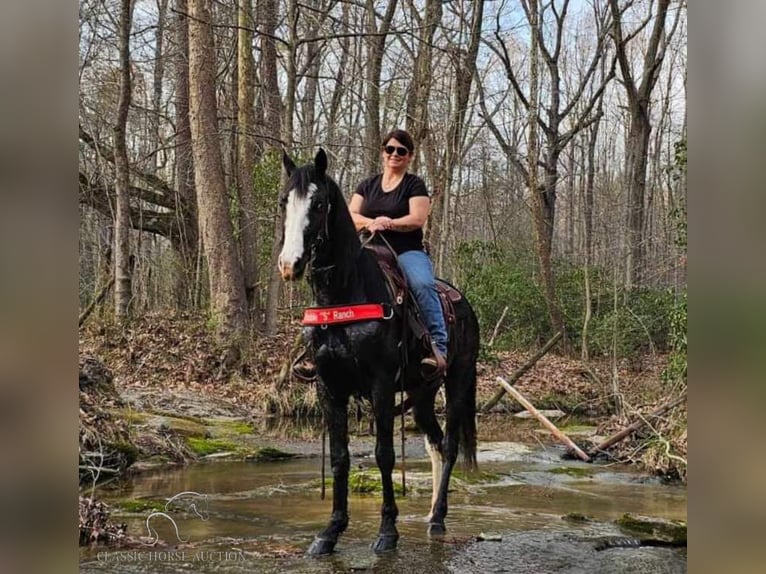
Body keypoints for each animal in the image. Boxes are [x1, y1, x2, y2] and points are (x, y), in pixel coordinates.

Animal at [276, 150, 480, 560]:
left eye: (318, 204)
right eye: (283, 202)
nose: (290, 264)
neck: (344, 294)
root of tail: (463, 302)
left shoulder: (381, 385)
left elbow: (384, 453)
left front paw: (388, 532)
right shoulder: (328, 387)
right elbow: (340, 457)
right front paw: (330, 532)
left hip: (458, 380)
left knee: (450, 446)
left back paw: (438, 517)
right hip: (421, 391)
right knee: (435, 443)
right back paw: (430, 513)